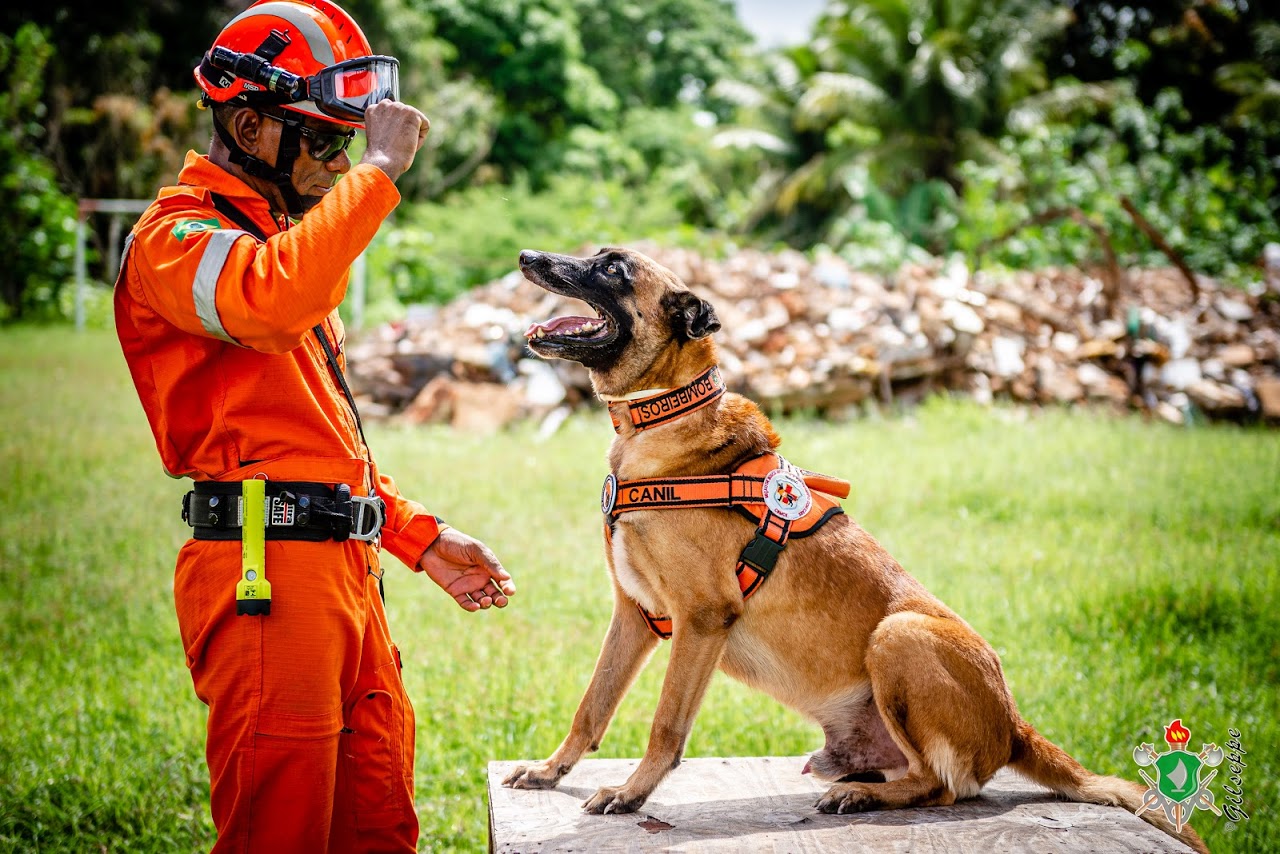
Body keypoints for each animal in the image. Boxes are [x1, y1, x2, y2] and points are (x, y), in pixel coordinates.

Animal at [501, 247, 1208, 854]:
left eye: (612, 268)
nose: (529, 258)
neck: (661, 417)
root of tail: (1013, 725)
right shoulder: (636, 616)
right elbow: (592, 707)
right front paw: (550, 770)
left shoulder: (701, 619)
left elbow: (666, 726)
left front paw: (632, 792)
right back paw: (862, 782)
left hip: (900, 635)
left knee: (945, 787)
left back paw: (865, 798)